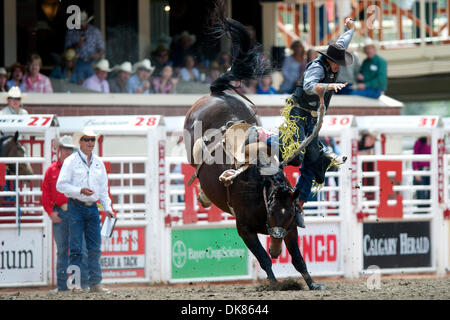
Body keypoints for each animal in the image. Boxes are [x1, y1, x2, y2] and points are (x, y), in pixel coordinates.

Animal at [185, 15, 326, 290]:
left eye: (289, 214)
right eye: (272, 211)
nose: (276, 243)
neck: (259, 189)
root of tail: (216, 93)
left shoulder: (291, 228)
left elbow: (298, 258)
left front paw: (312, 283)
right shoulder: (244, 229)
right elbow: (263, 259)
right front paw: (273, 283)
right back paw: (203, 196)